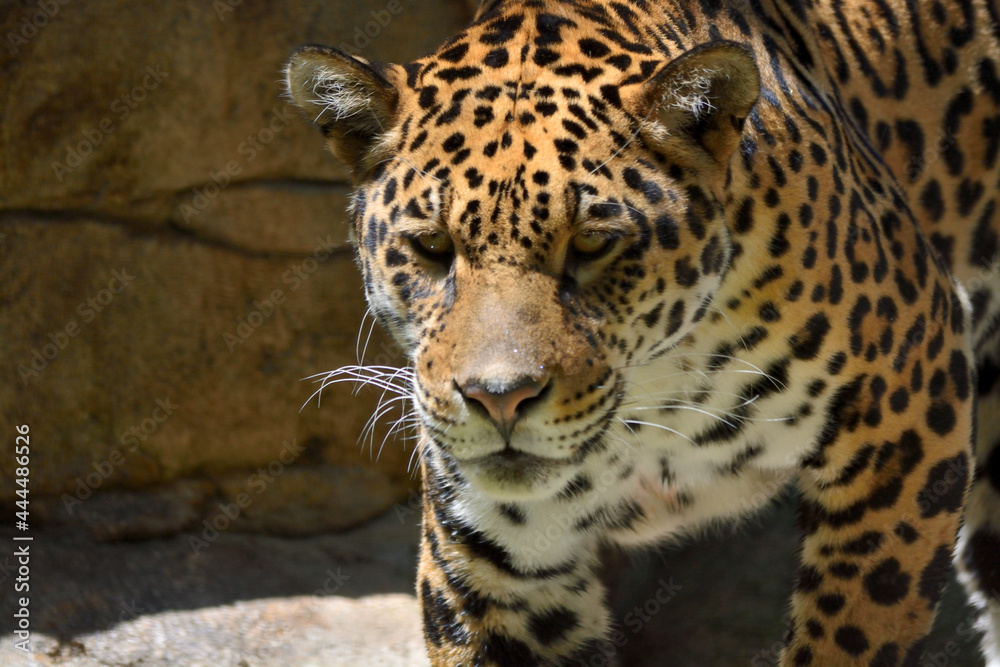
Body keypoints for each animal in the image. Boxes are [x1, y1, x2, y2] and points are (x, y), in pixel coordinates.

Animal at [285, 0, 1000, 664]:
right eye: (432, 248)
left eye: (592, 245)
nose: (498, 399)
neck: (654, 393)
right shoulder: (500, 569)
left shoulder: (912, 403)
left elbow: (854, 629)